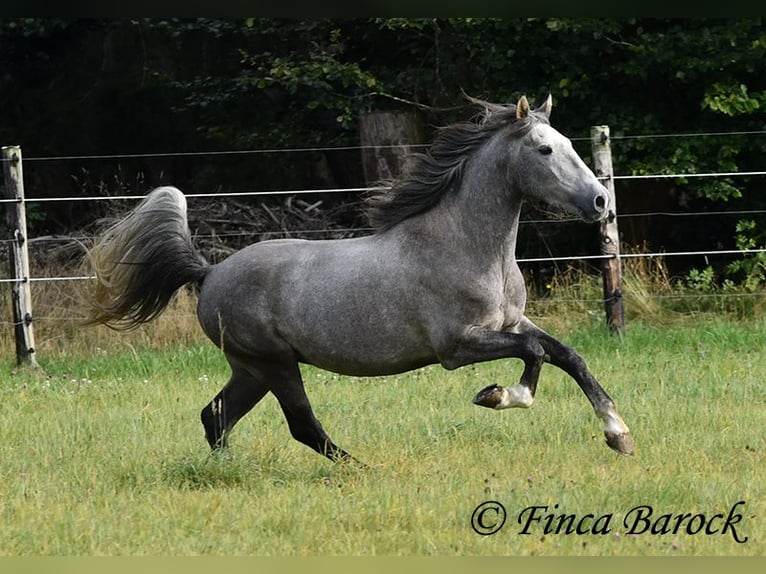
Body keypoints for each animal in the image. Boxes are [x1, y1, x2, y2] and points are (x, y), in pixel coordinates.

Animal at [82, 94, 636, 464]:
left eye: (568, 143)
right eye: (544, 151)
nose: (600, 202)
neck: (469, 248)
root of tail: (209, 270)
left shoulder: (512, 323)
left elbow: (568, 355)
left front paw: (619, 435)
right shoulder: (458, 347)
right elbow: (536, 356)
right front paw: (498, 396)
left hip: (250, 368)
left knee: (216, 415)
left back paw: (227, 471)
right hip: (274, 363)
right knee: (301, 425)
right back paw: (357, 470)